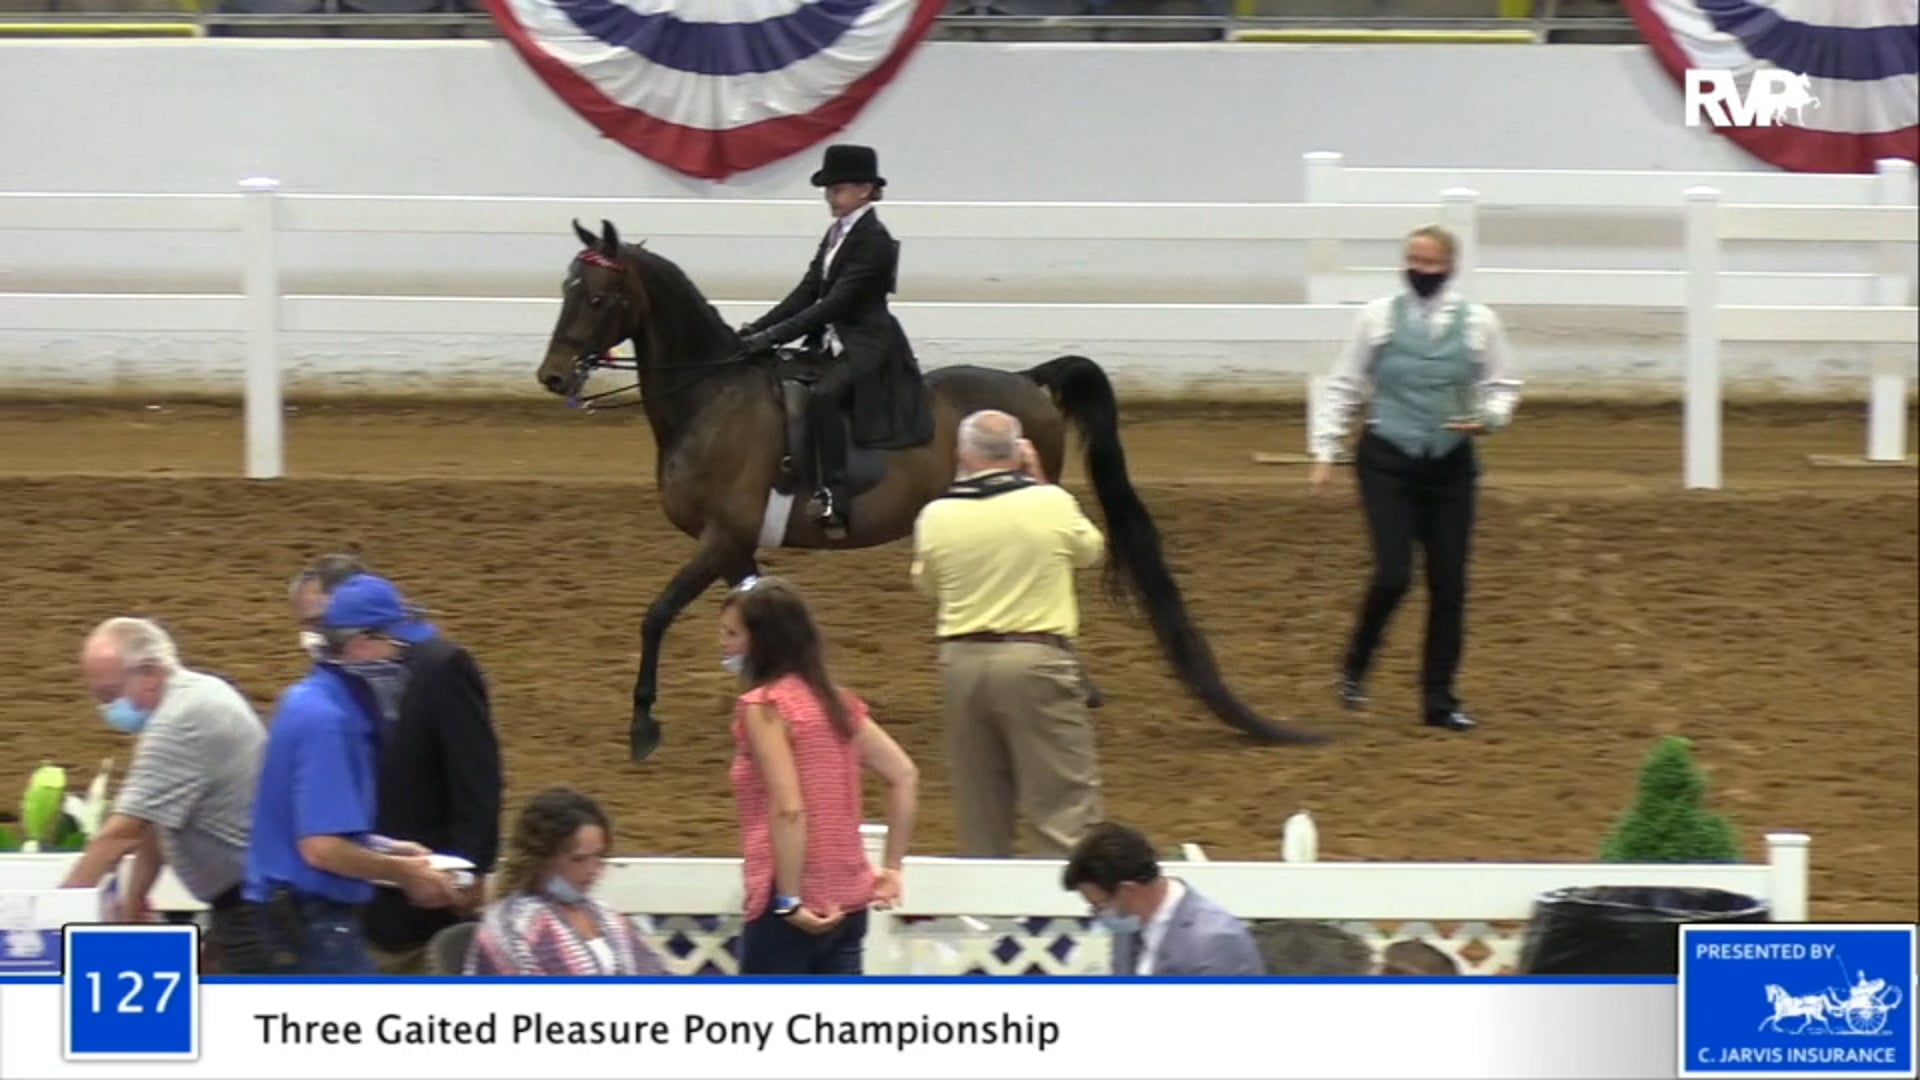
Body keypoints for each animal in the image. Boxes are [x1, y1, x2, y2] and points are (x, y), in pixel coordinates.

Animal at [535, 218, 1328, 763]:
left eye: (599, 295)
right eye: (567, 289)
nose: (552, 375)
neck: (711, 398)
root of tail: (1027, 381)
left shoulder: (719, 537)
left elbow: (655, 616)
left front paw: (643, 725)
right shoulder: (737, 550)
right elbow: (755, 620)